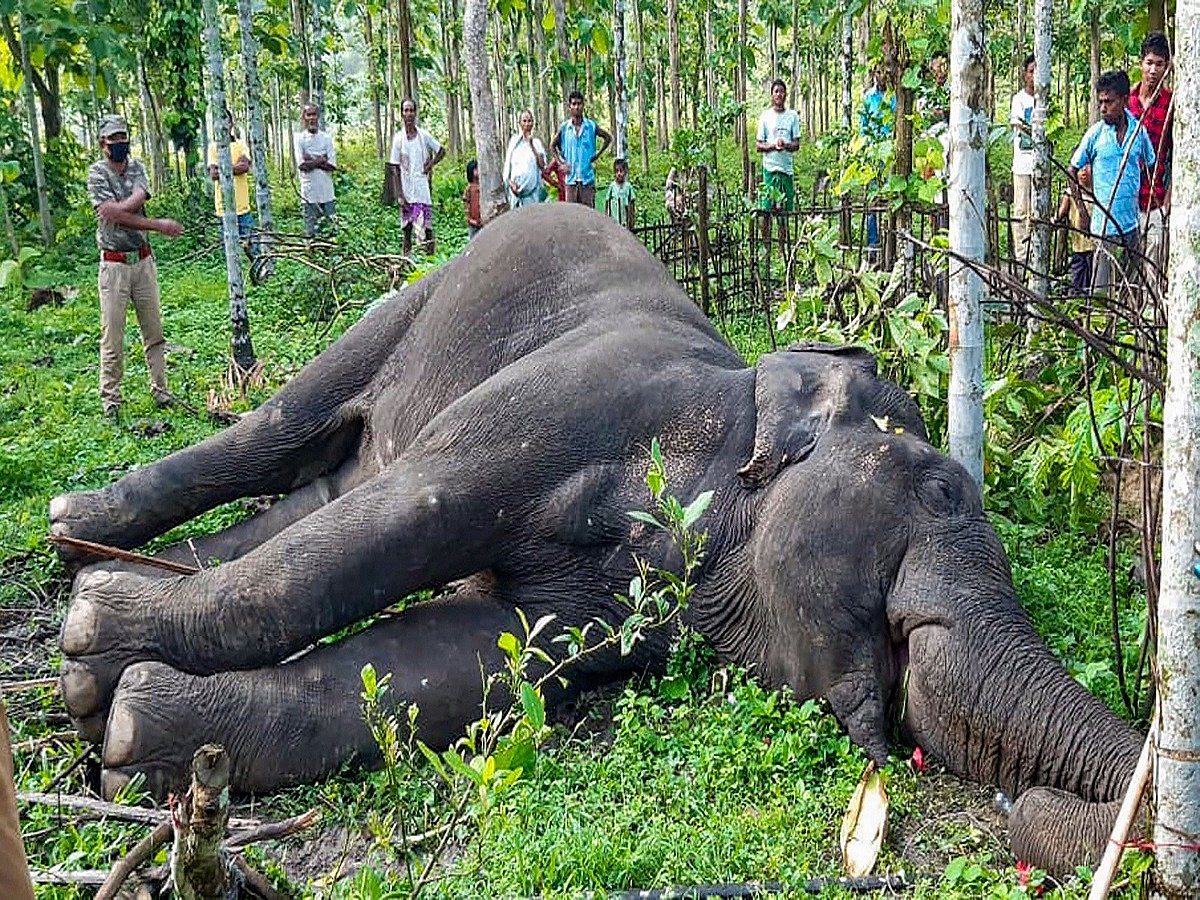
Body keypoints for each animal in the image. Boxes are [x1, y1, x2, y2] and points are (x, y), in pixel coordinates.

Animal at [50, 202, 1140, 876]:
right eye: (946, 487)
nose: (1022, 814)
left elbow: (474, 663)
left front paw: (131, 730)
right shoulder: (584, 398)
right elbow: (418, 513)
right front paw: (92, 651)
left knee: (318, 486)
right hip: (420, 294)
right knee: (285, 429)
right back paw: (77, 540)